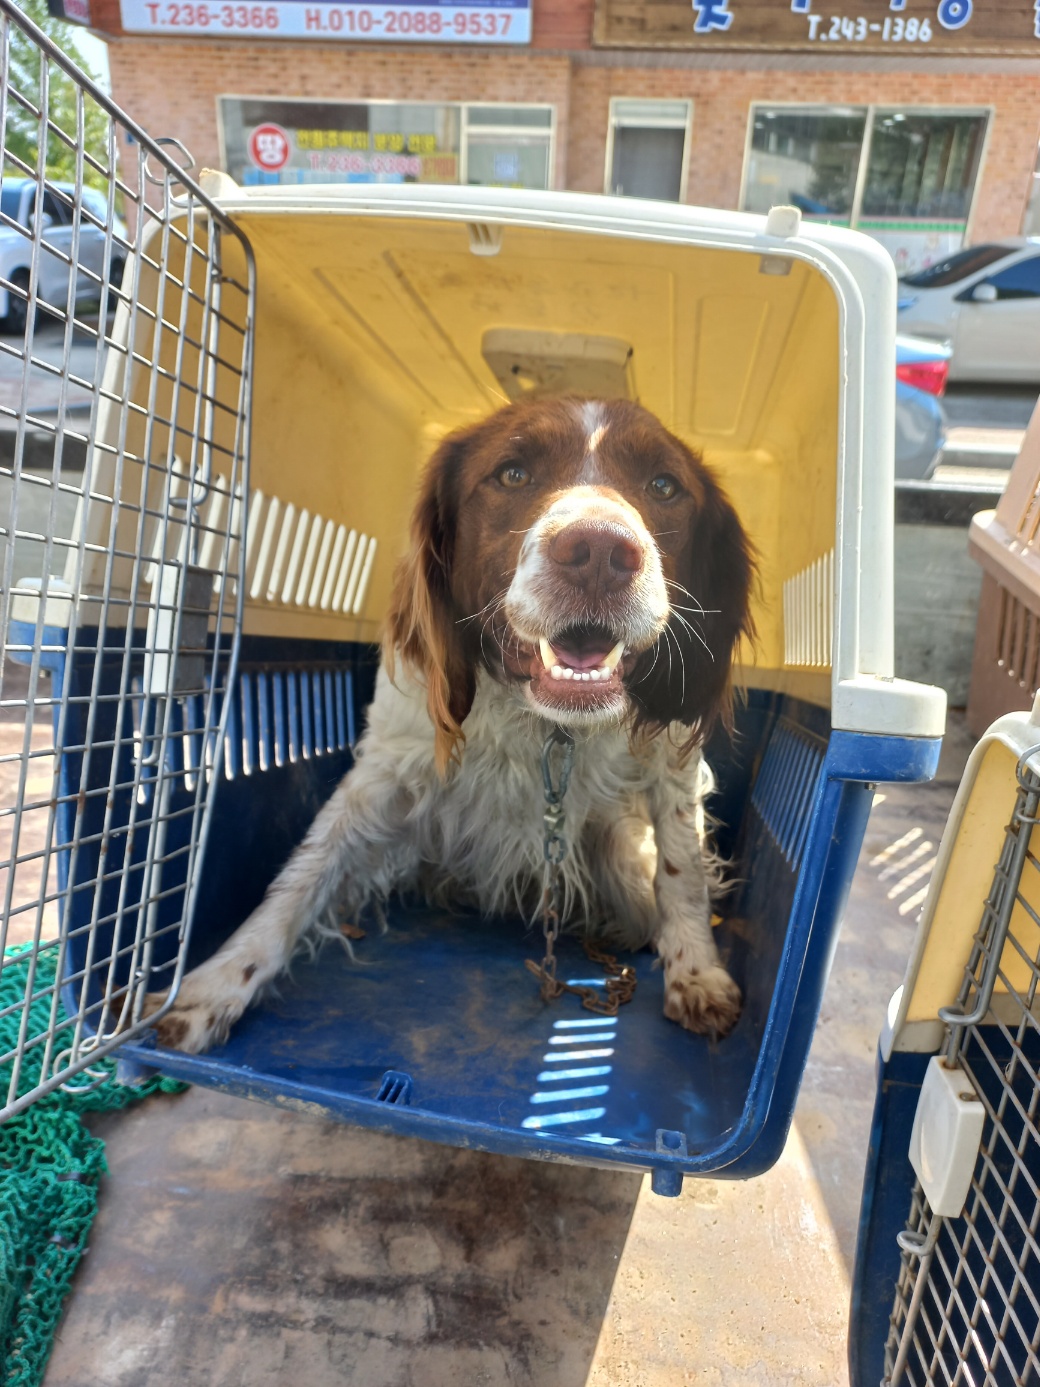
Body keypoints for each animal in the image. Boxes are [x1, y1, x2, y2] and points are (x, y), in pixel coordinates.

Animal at [150, 402, 759, 1048]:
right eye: (512, 473)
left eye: (664, 486)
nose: (598, 552)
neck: (547, 727)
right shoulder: (386, 764)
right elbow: (302, 875)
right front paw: (211, 987)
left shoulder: (674, 761)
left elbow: (682, 871)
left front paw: (697, 971)